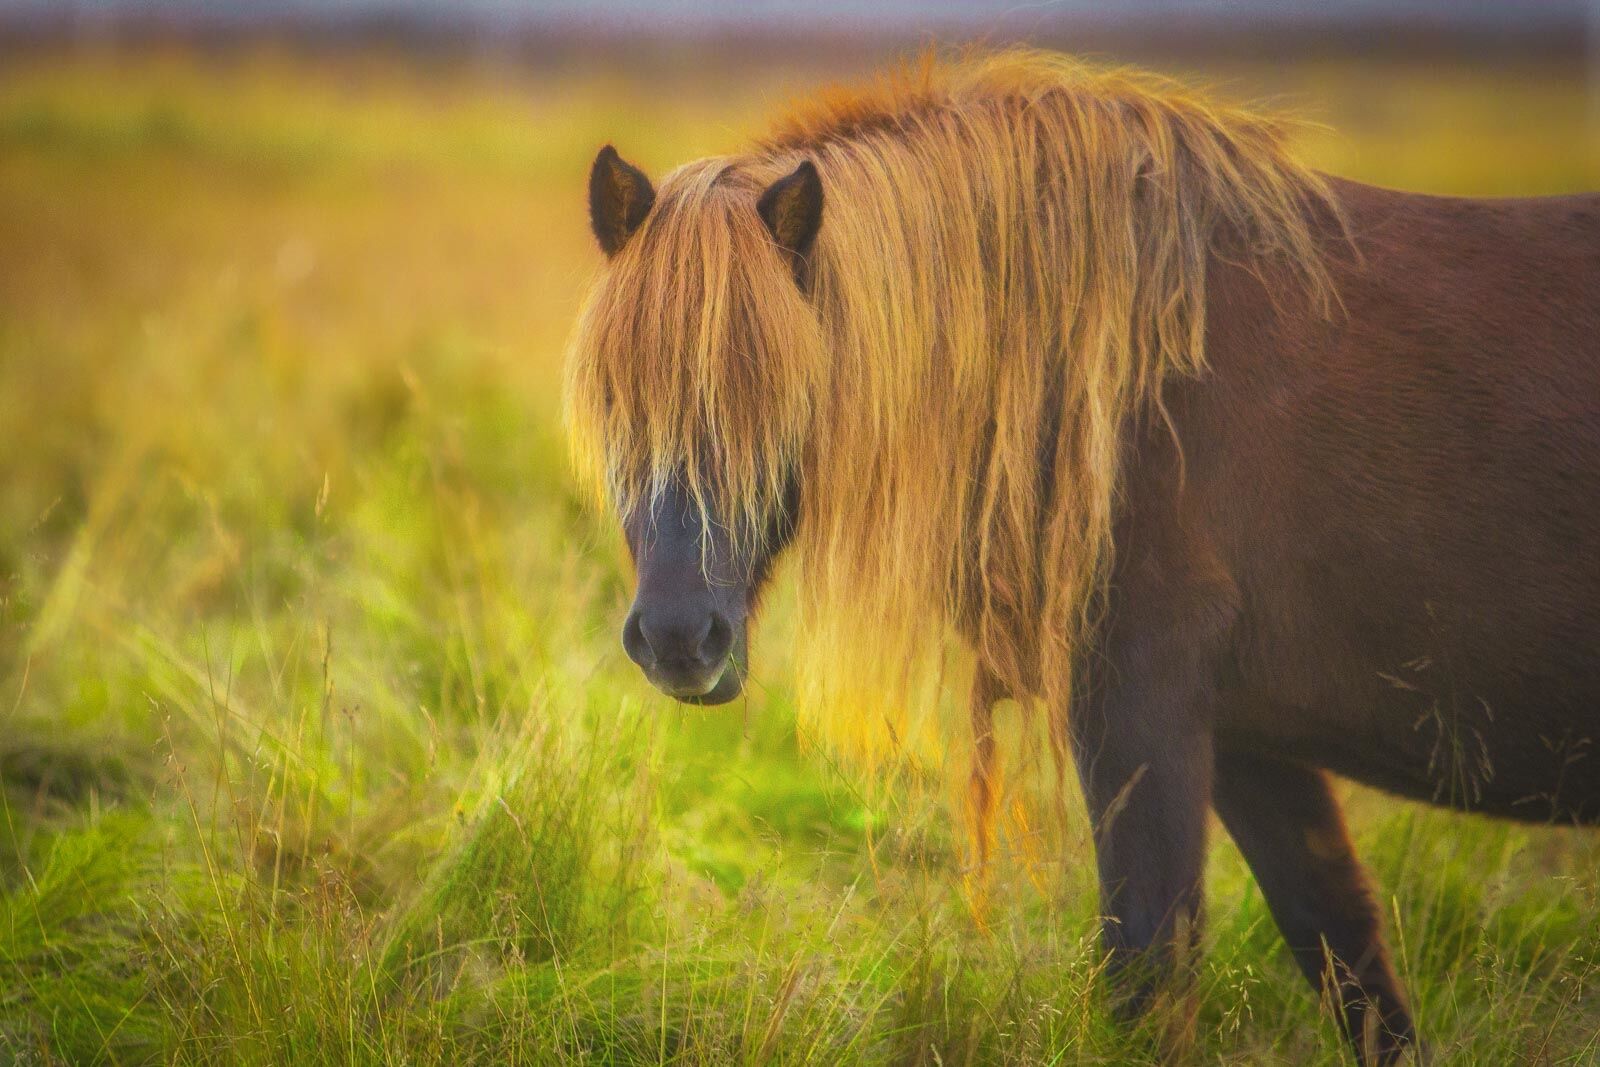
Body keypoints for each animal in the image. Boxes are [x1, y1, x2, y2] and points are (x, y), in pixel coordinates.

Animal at [566, 51, 1600, 1067]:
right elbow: (1345, 955)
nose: (678, 639)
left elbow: (1146, 970)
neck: (1111, 388)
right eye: (616, 397)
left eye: (781, 391)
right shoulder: (1250, 741)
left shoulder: (1140, 714)